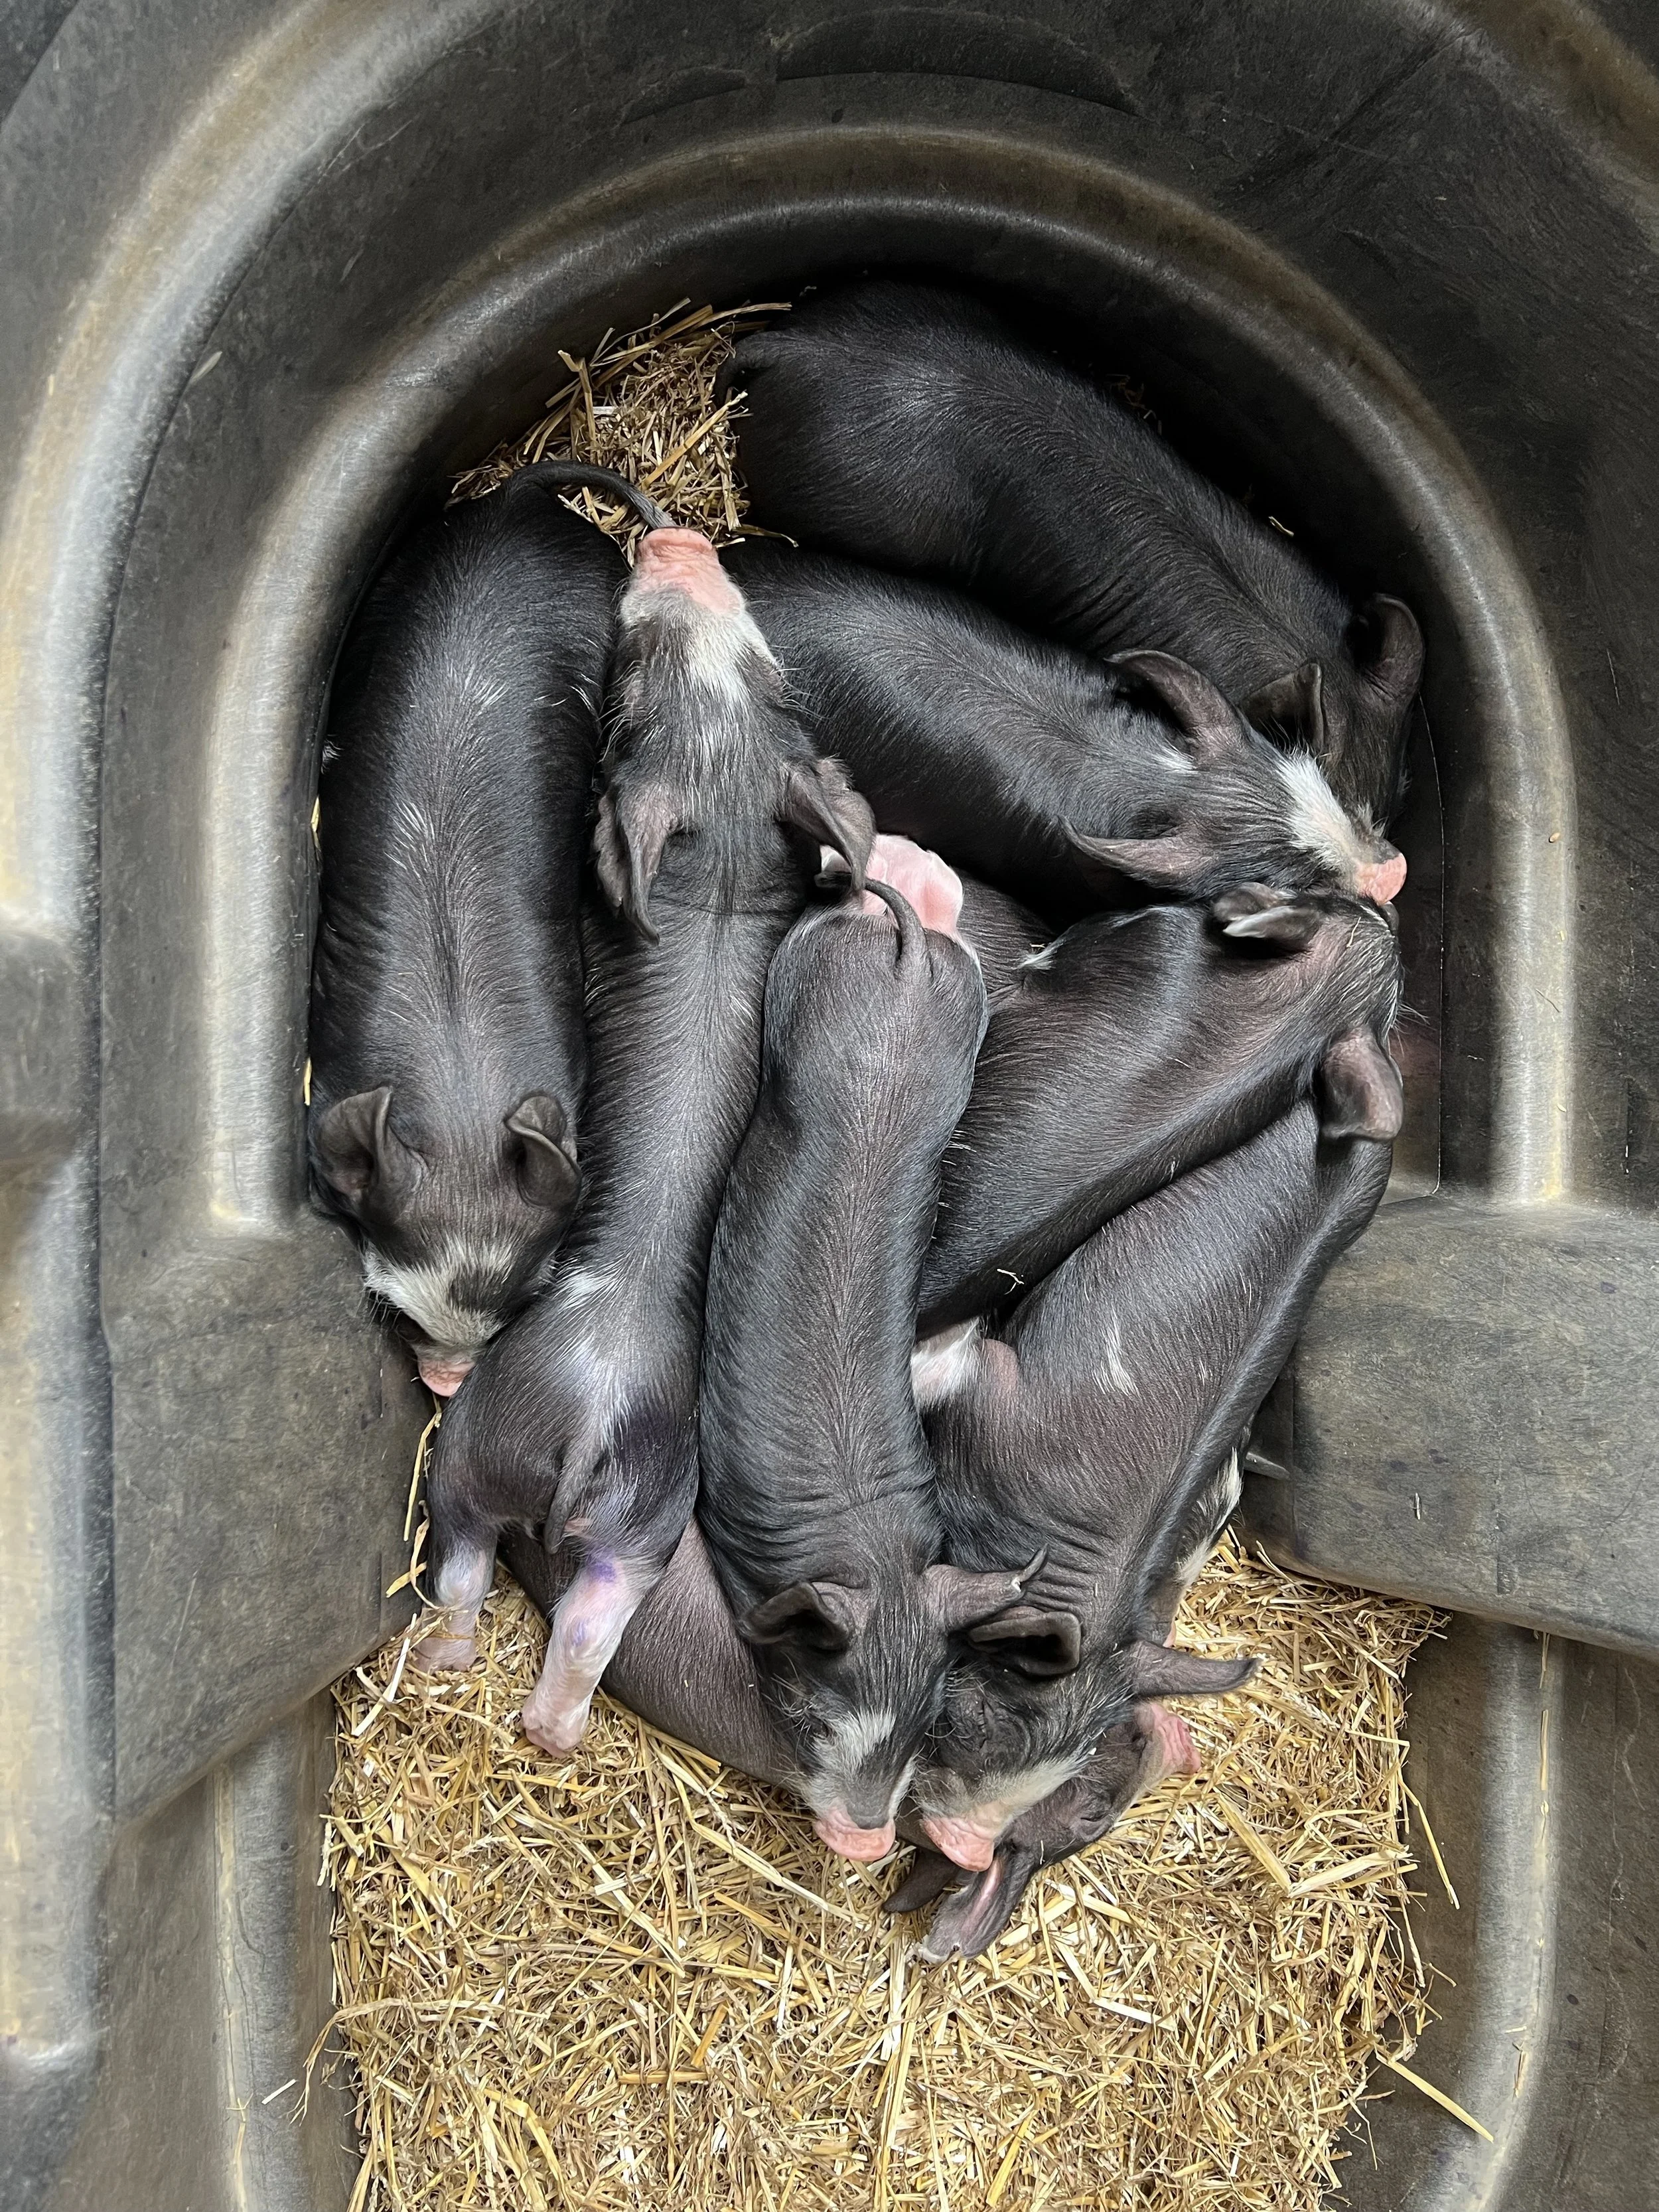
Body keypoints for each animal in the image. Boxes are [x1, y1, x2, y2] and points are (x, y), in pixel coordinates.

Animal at [413, 517, 873, 1751]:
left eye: (627, 706)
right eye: (773, 677)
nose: (672, 536)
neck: (717, 888)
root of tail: (589, 1419)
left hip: (516, 1451)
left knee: (490, 1573)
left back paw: (505, 1699)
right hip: (612, 1495)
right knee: (552, 1603)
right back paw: (496, 1691)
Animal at [697, 862, 1041, 1861]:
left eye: (932, 1720)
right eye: (815, 1719)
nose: (867, 1842)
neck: (873, 1557)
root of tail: (907, 959)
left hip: (956, 1005)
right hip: (809, 974)